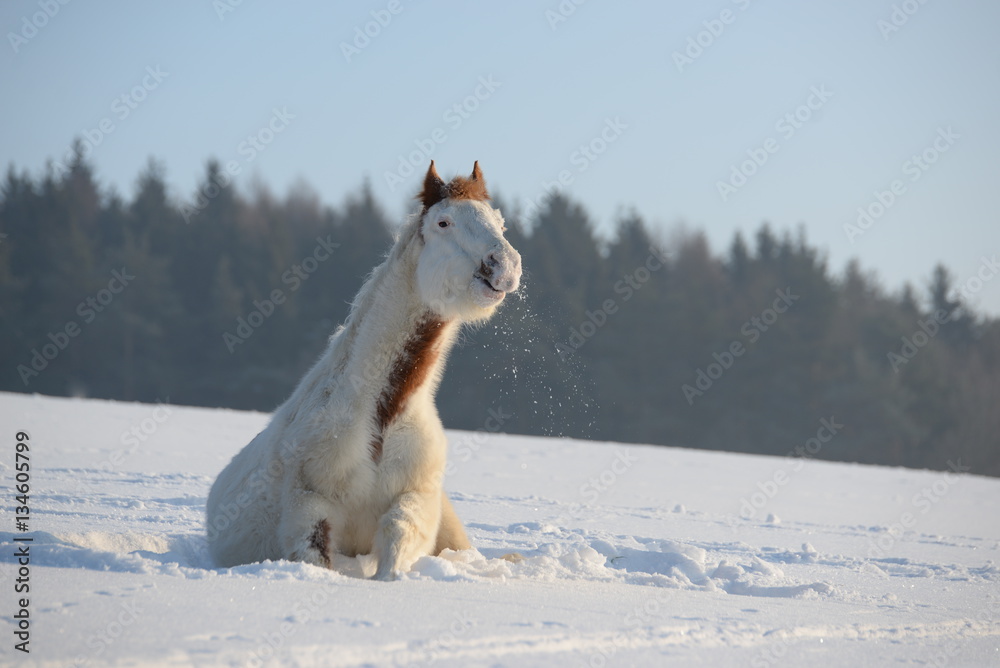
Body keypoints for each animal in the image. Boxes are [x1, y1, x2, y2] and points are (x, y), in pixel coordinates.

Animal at [206, 161, 522, 580]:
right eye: (443, 222)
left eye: (500, 223)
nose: (505, 266)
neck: (382, 414)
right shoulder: (309, 505)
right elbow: (316, 554)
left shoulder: (415, 501)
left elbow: (397, 538)